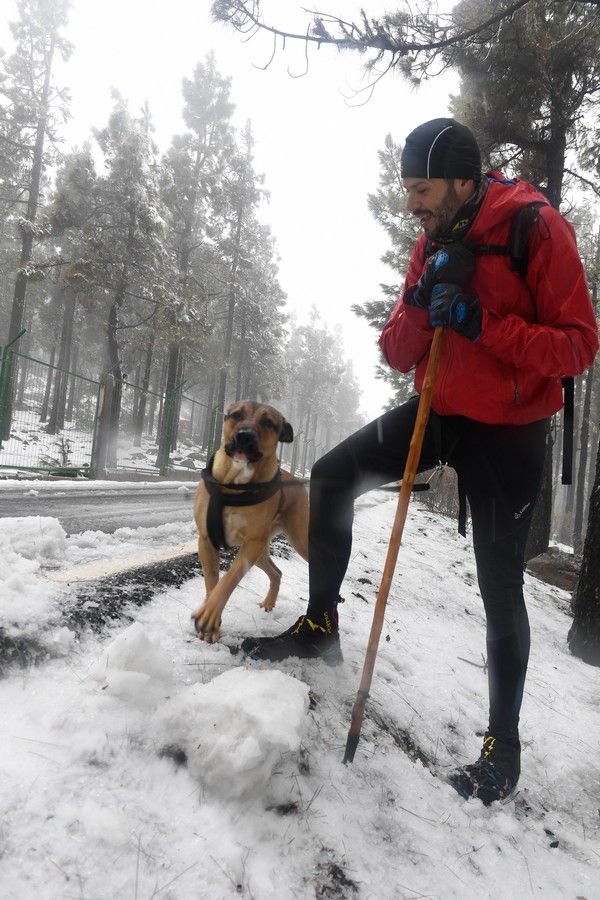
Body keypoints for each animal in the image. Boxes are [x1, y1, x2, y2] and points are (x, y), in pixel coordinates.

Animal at [192, 400, 310, 640]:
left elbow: (228, 580)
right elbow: (211, 581)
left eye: (268, 422)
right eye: (236, 415)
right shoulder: (206, 540)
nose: (245, 435)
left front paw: (210, 614)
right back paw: (269, 602)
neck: (235, 484)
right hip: (261, 552)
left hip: (297, 540)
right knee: (276, 572)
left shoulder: (251, 544)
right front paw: (211, 623)